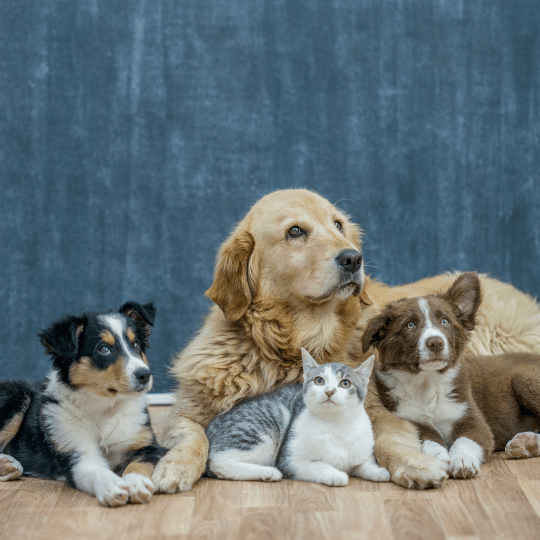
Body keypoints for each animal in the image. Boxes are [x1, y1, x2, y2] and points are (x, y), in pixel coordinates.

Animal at [0, 302, 167, 508]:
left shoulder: (148, 446)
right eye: (104, 349)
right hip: (17, 394)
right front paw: (112, 486)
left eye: (136, 345)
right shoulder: (76, 452)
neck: (104, 407)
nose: (144, 374)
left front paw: (136, 483)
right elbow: (96, 470)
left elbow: (138, 464)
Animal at [206, 348, 388, 488]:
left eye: (345, 383)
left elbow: (366, 464)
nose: (329, 391)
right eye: (319, 380)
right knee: (218, 461)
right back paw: (267, 472)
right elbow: (319, 465)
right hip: (266, 425)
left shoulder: (363, 451)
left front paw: (379, 472)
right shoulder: (290, 460)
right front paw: (336, 474)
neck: (336, 424)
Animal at [362, 272, 540, 478]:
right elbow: (429, 439)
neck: (428, 383)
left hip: (524, 380)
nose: (436, 343)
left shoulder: (472, 417)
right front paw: (439, 456)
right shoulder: (410, 420)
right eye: (410, 325)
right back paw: (527, 443)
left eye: (445, 321)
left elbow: (464, 441)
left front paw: (462, 461)